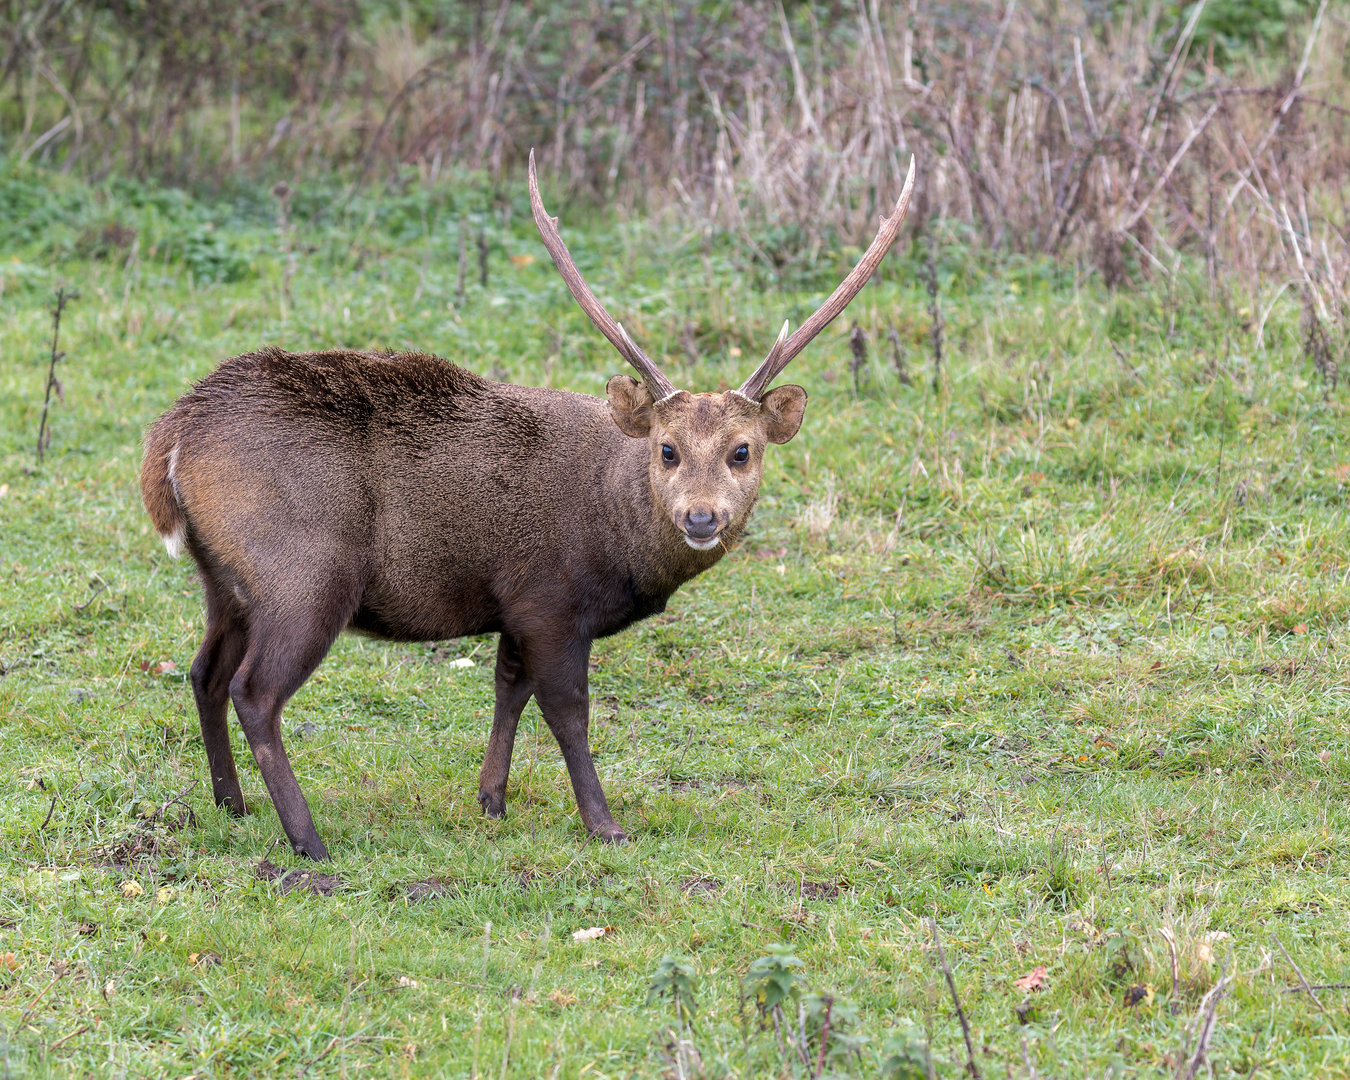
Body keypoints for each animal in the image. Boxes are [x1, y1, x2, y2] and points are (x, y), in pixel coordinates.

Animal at [140, 152, 916, 860]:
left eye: (742, 450)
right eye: (667, 449)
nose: (701, 517)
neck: (616, 541)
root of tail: (173, 435)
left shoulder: (512, 605)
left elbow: (506, 690)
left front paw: (492, 798)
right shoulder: (550, 601)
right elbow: (568, 713)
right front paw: (604, 824)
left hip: (224, 579)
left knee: (204, 671)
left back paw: (231, 803)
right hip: (304, 569)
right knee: (256, 691)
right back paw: (308, 840)